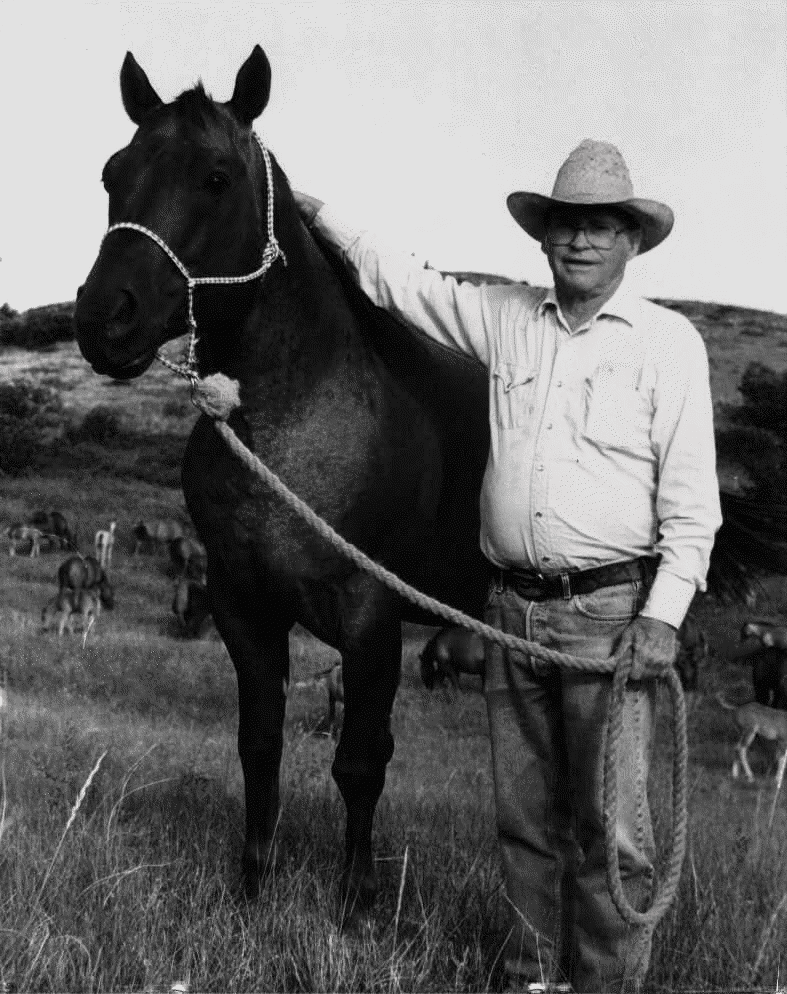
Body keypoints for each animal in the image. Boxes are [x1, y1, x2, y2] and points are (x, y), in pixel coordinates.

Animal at [73, 46, 490, 915]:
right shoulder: (244, 608)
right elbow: (259, 746)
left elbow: (362, 759)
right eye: (112, 173)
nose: (103, 318)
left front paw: (356, 901)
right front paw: (252, 885)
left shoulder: (371, 621)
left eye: (218, 177)